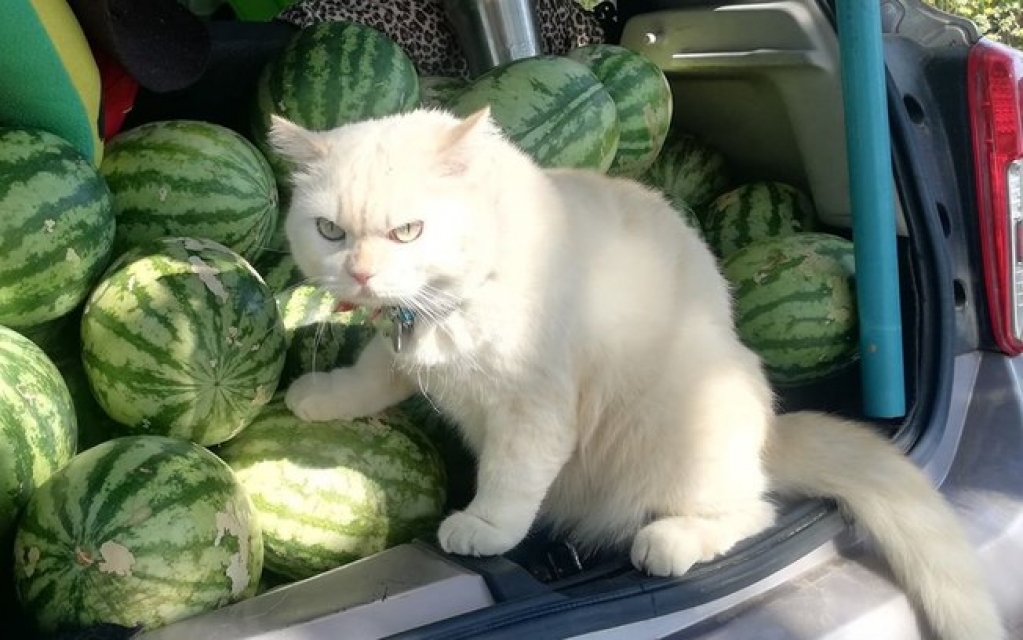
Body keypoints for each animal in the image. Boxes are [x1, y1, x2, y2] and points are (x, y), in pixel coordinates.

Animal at [268, 107, 1002, 633]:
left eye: (408, 231)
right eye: (330, 231)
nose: (360, 275)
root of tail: (769, 434)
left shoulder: (534, 409)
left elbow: (510, 480)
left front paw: (484, 528)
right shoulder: (400, 343)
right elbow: (371, 375)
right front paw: (317, 397)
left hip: (681, 430)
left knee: (753, 508)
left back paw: (670, 541)